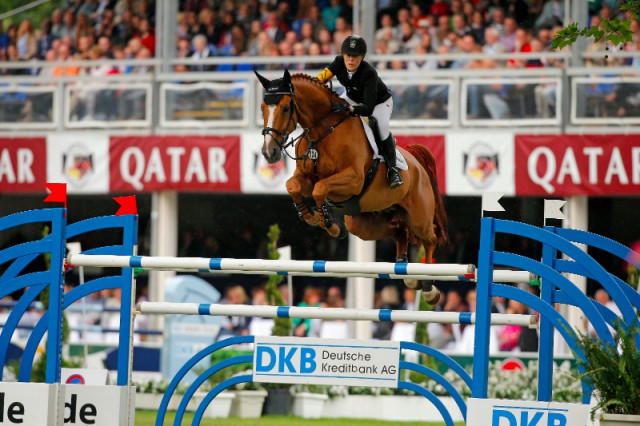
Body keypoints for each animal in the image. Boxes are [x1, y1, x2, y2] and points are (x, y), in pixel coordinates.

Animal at [252, 69, 448, 302]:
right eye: (262, 108)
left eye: (285, 108)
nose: (269, 153)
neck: (322, 132)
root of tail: (415, 162)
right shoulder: (305, 178)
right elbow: (294, 186)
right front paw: (313, 217)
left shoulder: (353, 180)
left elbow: (320, 189)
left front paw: (327, 222)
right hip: (365, 224)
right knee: (400, 232)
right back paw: (406, 272)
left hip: (419, 217)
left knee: (430, 238)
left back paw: (428, 287)